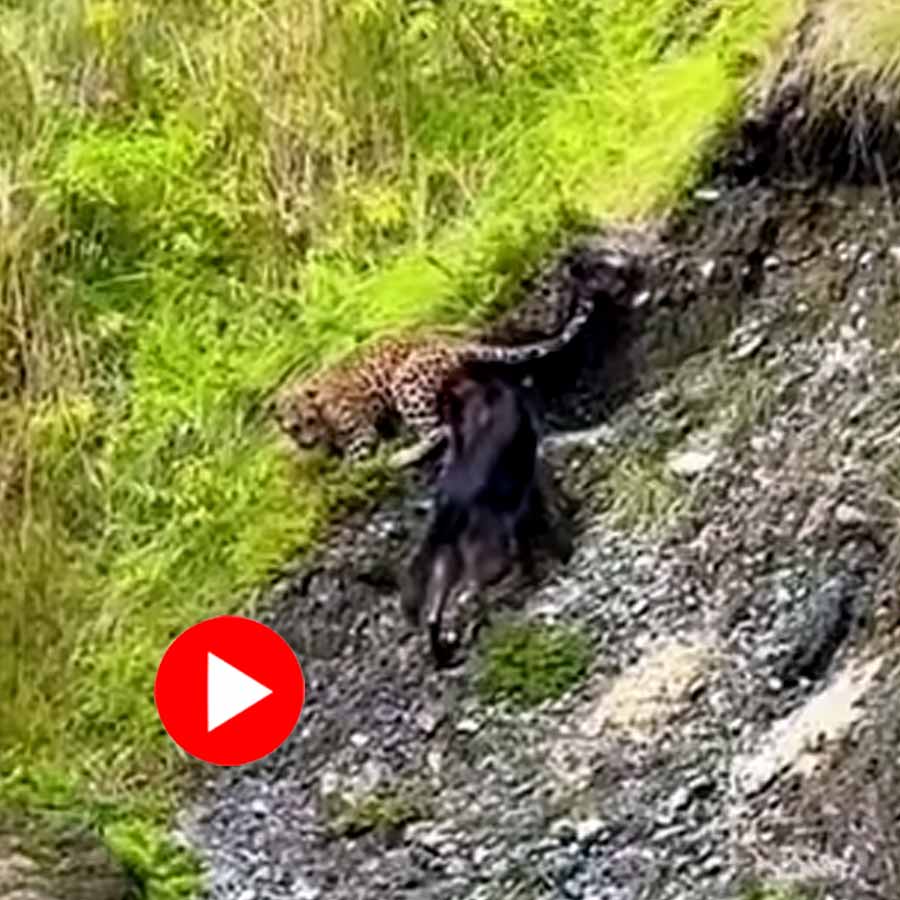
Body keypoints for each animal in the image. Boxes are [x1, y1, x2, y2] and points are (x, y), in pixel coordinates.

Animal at [271, 291, 596, 469]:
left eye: (310, 420)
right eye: (294, 426)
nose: (306, 442)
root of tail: (447, 341)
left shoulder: (361, 435)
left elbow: (350, 466)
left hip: (406, 381)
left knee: (439, 431)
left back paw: (400, 455)